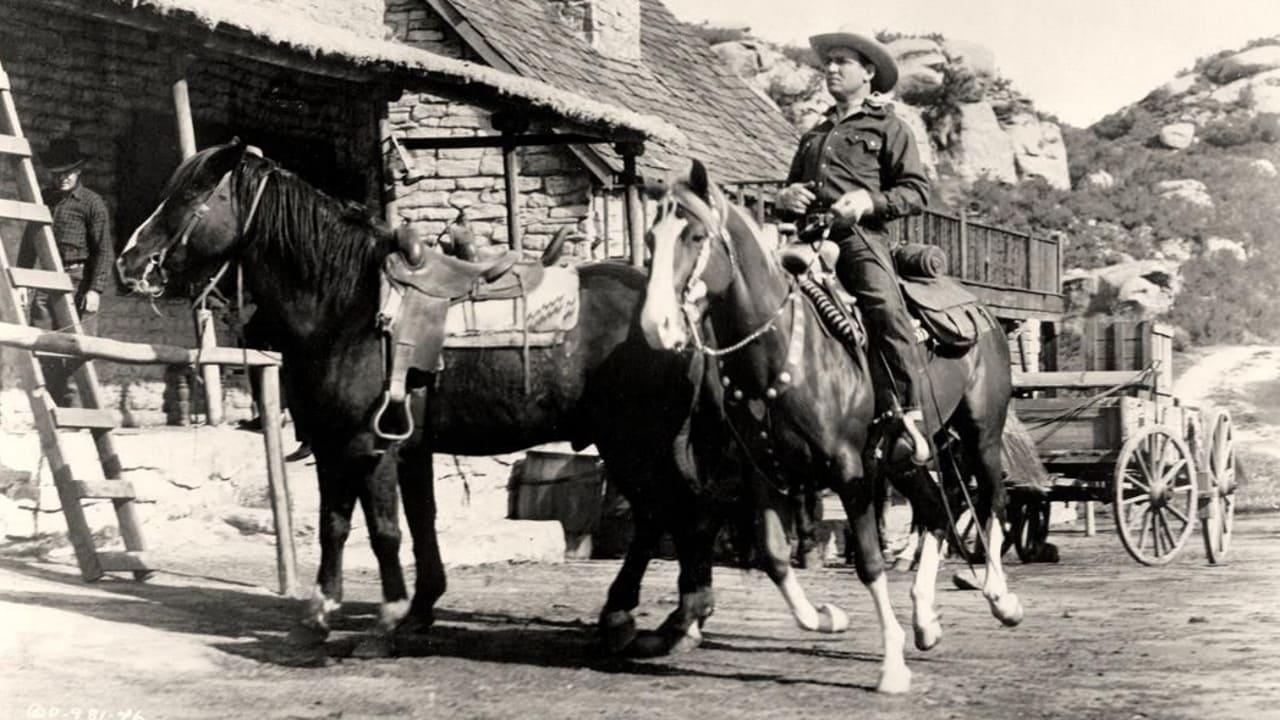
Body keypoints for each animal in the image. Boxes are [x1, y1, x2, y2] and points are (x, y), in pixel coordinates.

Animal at [115, 139, 844, 655]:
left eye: (189, 196)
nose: (128, 260)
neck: (348, 306)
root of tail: (679, 315)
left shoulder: (365, 446)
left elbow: (377, 529)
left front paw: (382, 619)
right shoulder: (377, 446)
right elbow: (375, 524)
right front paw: (362, 610)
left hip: (639, 443)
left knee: (677, 512)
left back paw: (664, 616)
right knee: (672, 514)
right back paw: (651, 616)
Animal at [640, 161, 1029, 691]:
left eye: (696, 235)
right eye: (649, 239)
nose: (654, 325)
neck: (783, 352)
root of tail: (979, 307)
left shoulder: (850, 471)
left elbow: (868, 561)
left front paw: (892, 666)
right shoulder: (765, 472)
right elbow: (774, 557)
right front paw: (830, 617)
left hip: (980, 435)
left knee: (991, 502)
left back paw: (1000, 599)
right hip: (909, 457)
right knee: (936, 513)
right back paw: (925, 621)